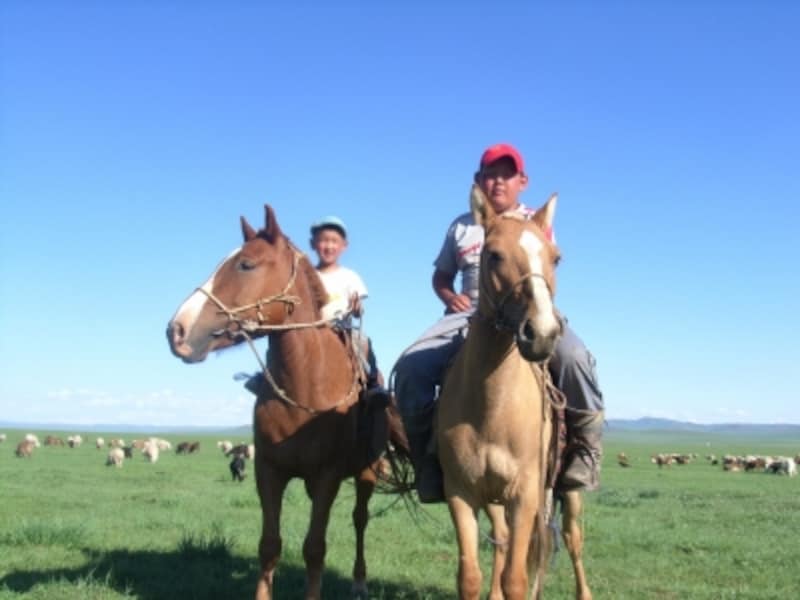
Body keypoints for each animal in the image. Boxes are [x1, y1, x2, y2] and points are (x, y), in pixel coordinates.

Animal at [166, 205, 406, 600]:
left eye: (246, 264)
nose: (176, 331)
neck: (304, 386)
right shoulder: (268, 471)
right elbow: (269, 545)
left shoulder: (327, 477)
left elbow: (314, 548)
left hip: (367, 472)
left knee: (360, 520)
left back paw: (359, 581)